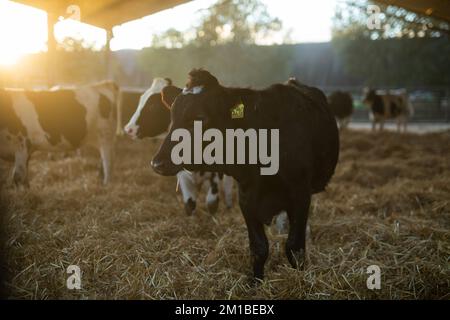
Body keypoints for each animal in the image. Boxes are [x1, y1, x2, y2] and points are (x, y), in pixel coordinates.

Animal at [125, 77, 234, 215]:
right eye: (141, 99)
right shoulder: (182, 174)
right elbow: (189, 205)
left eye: (152, 105)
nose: (128, 129)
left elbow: (212, 203)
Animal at [151, 69, 338, 278]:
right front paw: (255, 281)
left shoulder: (300, 195)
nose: (157, 163)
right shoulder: (247, 199)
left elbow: (294, 247)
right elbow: (259, 248)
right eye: (172, 116)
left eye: (200, 117)